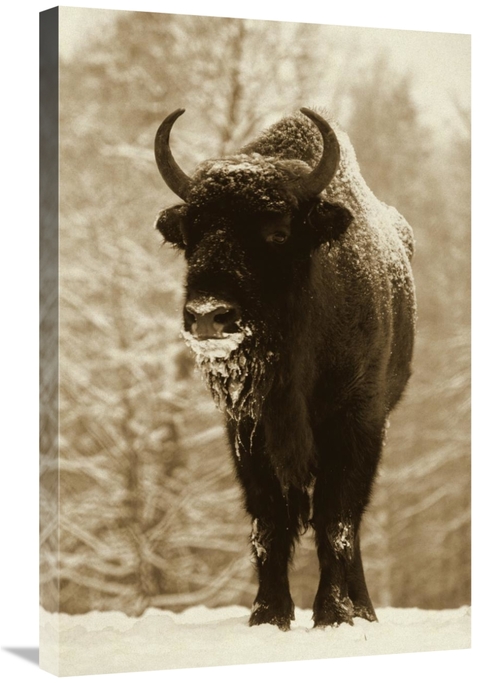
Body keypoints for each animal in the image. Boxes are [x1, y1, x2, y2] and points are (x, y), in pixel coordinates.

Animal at [154, 107, 416, 630]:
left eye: (276, 232)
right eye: (191, 236)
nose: (209, 315)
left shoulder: (356, 422)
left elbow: (336, 519)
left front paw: (333, 613)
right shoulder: (247, 431)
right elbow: (269, 521)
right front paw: (268, 614)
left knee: (350, 522)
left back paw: (363, 609)